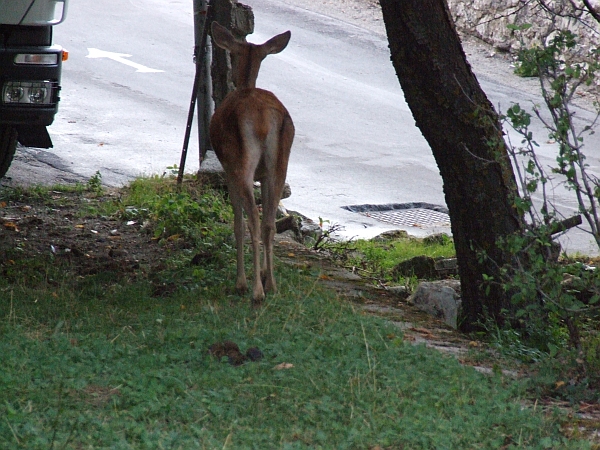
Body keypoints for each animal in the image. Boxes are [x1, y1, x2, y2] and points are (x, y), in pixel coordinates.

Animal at [209, 22, 296, 308]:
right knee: (269, 222)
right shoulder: (263, 174)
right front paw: (264, 274)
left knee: (253, 220)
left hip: (241, 161)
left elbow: (236, 222)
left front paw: (242, 281)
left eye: (233, 54)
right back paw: (272, 285)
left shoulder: (227, 168)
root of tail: (262, 118)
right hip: (280, 163)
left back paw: (255, 290)